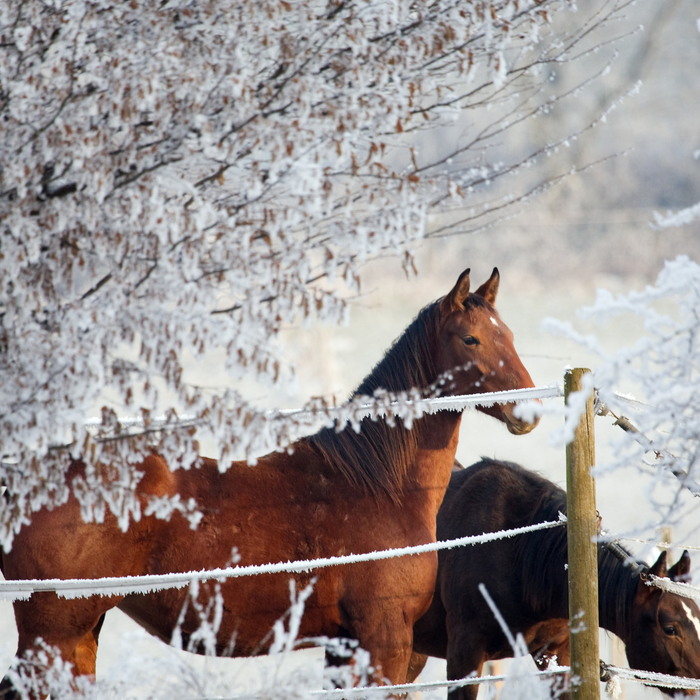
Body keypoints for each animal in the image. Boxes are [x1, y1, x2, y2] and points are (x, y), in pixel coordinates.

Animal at [0, 268, 540, 699]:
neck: (377, 483)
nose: (529, 411)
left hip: (80, 634)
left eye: (511, 334)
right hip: (54, 636)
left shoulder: (345, 645)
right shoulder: (384, 640)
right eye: (470, 340)